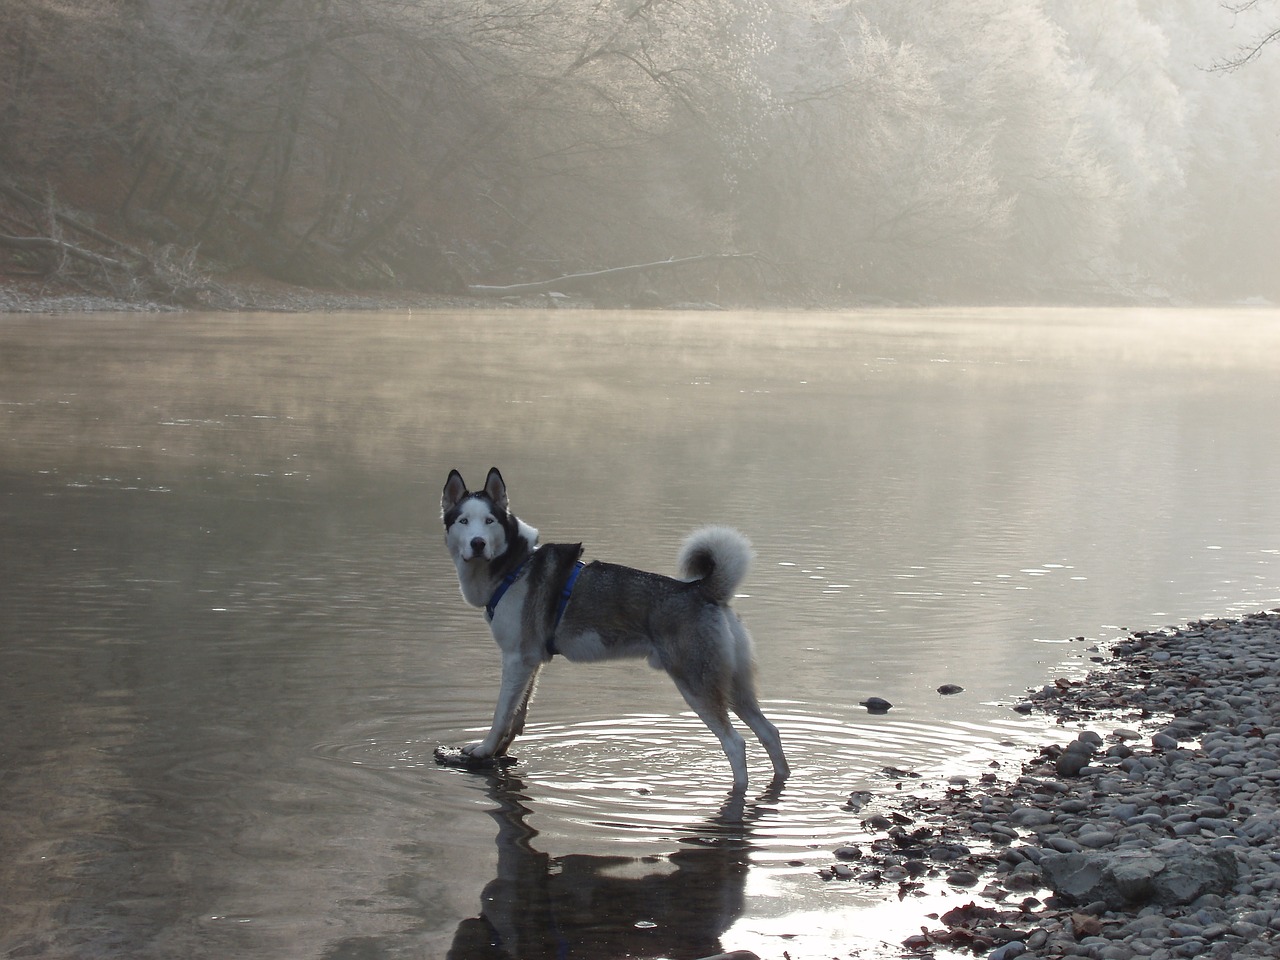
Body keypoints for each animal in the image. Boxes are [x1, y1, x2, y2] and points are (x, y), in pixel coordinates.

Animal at [445, 471, 793, 793]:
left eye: (488, 521)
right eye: (463, 521)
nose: (478, 543)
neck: (514, 566)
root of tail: (702, 590)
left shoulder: (515, 659)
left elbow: (501, 714)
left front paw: (484, 750)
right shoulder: (532, 662)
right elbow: (518, 714)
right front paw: (501, 750)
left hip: (697, 686)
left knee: (736, 744)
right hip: (735, 689)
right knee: (770, 732)